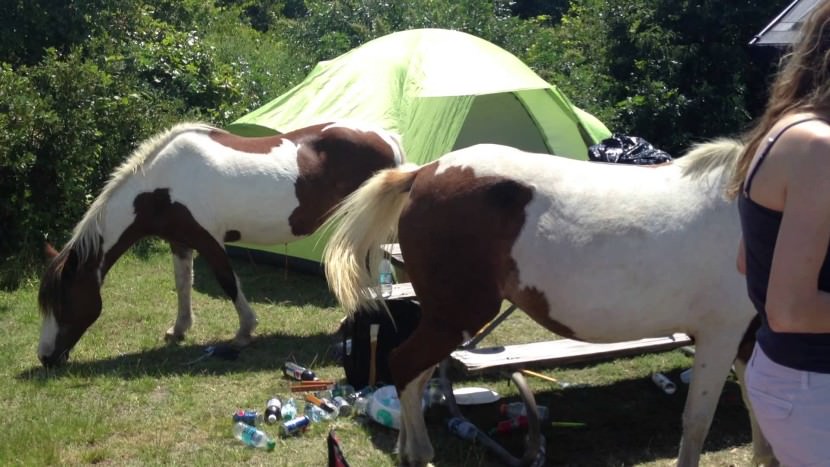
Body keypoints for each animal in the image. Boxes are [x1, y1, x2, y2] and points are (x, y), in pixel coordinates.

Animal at [37, 121, 405, 367]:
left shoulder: (208, 240)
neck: (161, 187)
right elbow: (182, 284)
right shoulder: (180, 241)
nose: (45, 357)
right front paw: (178, 329)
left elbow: (228, 282)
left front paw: (244, 331)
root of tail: (385, 137)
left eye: (62, 302)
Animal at [322, 141, 776, 466]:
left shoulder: (748, 338)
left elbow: (759, 408)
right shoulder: (720, 334)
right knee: (404, 365)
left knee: (414, 375)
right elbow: (697, 422)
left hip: (444, 320)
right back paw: (418, 454)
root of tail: (423, 174)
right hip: (456, 318)